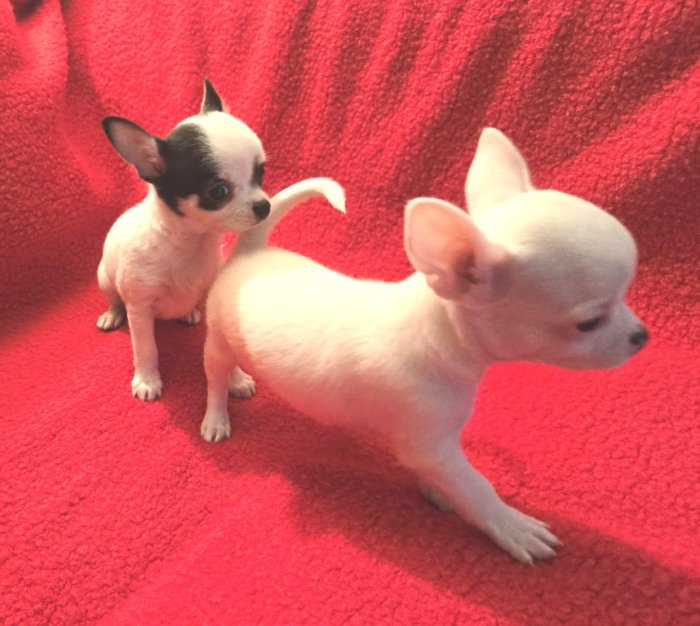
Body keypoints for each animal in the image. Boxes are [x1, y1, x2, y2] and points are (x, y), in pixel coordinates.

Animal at [97, 79, 271, 401]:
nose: (264, 206)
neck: (191, 242)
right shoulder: (139, 309)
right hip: (105, 278)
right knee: (114, 298)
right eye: (218, 191)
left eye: (261, 172)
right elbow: (146, 349)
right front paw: (147, 380)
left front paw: (236, 378)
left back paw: (189, 312)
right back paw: (111, 315)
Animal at [200, 128, 648, 564]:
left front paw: (438, 492)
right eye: (588, 324)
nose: (642, 337)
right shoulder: (434, 447)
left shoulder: (428, 445)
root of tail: (251, 252)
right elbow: (476, 487)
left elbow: (440, 476)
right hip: (217, 342)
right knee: (215, 379)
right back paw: (218, 412)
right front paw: (511, 525)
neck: (437, 338)